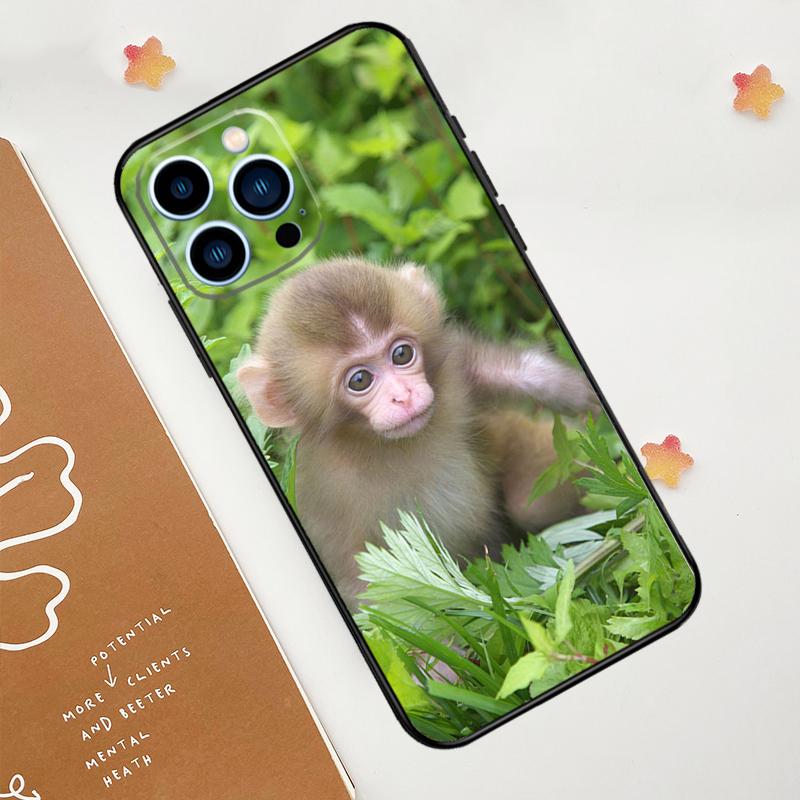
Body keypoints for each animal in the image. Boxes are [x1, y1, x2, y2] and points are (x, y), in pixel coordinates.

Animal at [238, 258, 599, 608]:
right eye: (359, 380)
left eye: (401, 354)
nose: (404, 396)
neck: (382, 442)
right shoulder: (324, 502)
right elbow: (373, 592)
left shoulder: (453, 377)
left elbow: (487, 368)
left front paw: (569, 390)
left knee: (527, 504)